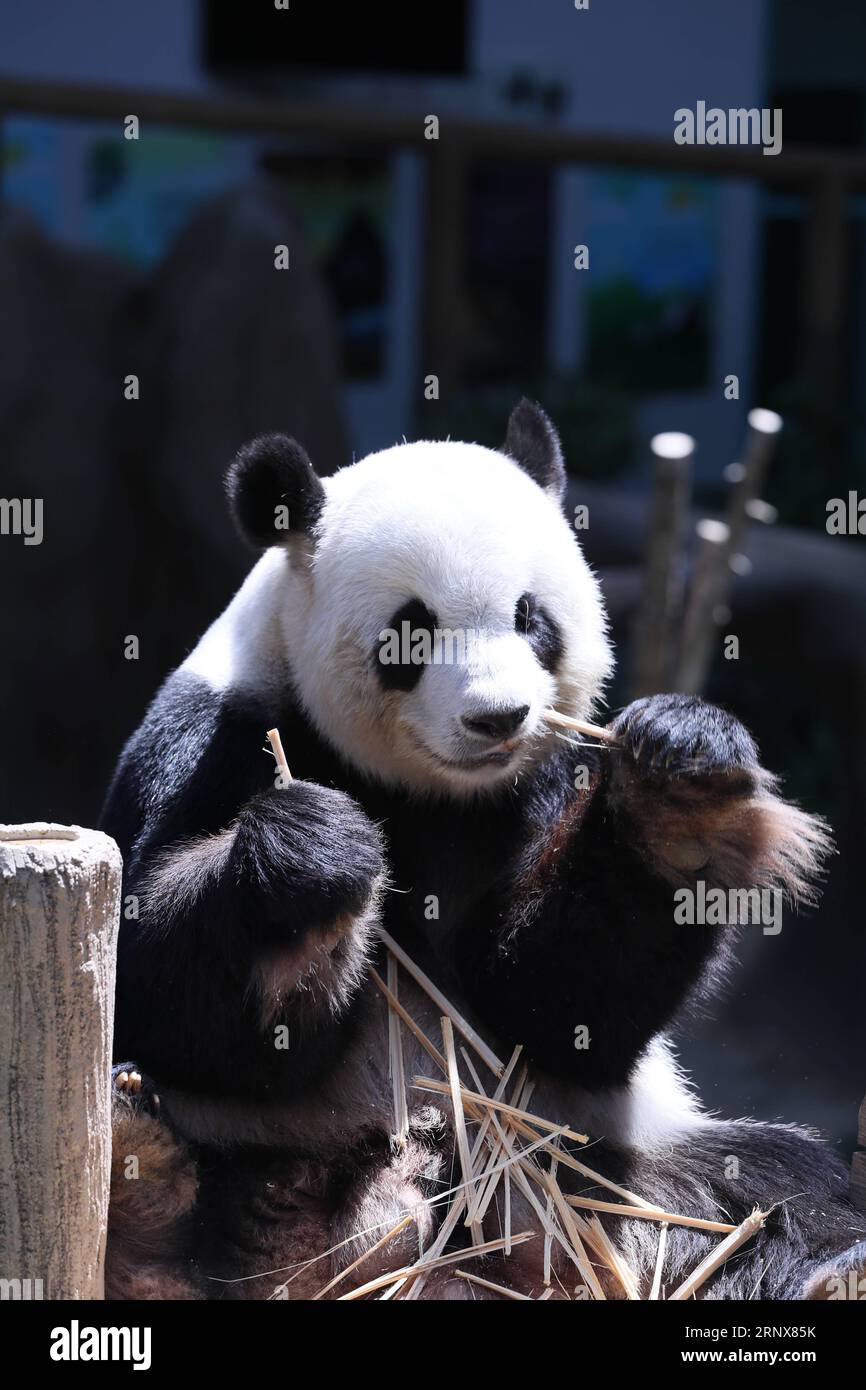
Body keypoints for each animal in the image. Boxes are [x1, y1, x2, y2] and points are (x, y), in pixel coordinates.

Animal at [103, 397, 866, 1295]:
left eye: (530, 618)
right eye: (411, 629)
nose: (498, 717)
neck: (435, 795)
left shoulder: (549, 780)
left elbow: (555, 1003)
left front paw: (679, 799)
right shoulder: (214, 737)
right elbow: (157, 991)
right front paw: (312, 859)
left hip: (584, 1161)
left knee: (768, 1184)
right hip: (268, 1160)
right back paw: (143, 1178)